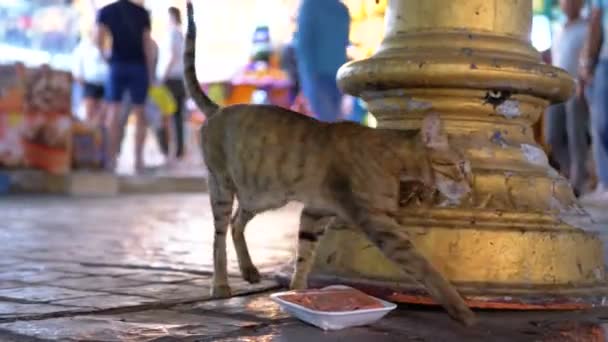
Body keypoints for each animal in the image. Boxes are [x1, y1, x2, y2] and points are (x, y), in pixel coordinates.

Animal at [184, 0, 476, 326]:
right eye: (460, 167)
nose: (470, 190)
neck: (390, 156)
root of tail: (217, 109)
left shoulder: (316, 212)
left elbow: (304, 256)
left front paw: (298, 293)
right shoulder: (377, 223)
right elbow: (424, 266)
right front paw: (460, 309)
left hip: (261, 193)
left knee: (237, 223)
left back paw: (248, 270)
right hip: (224, 186)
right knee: (219, 236)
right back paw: (221, 284)